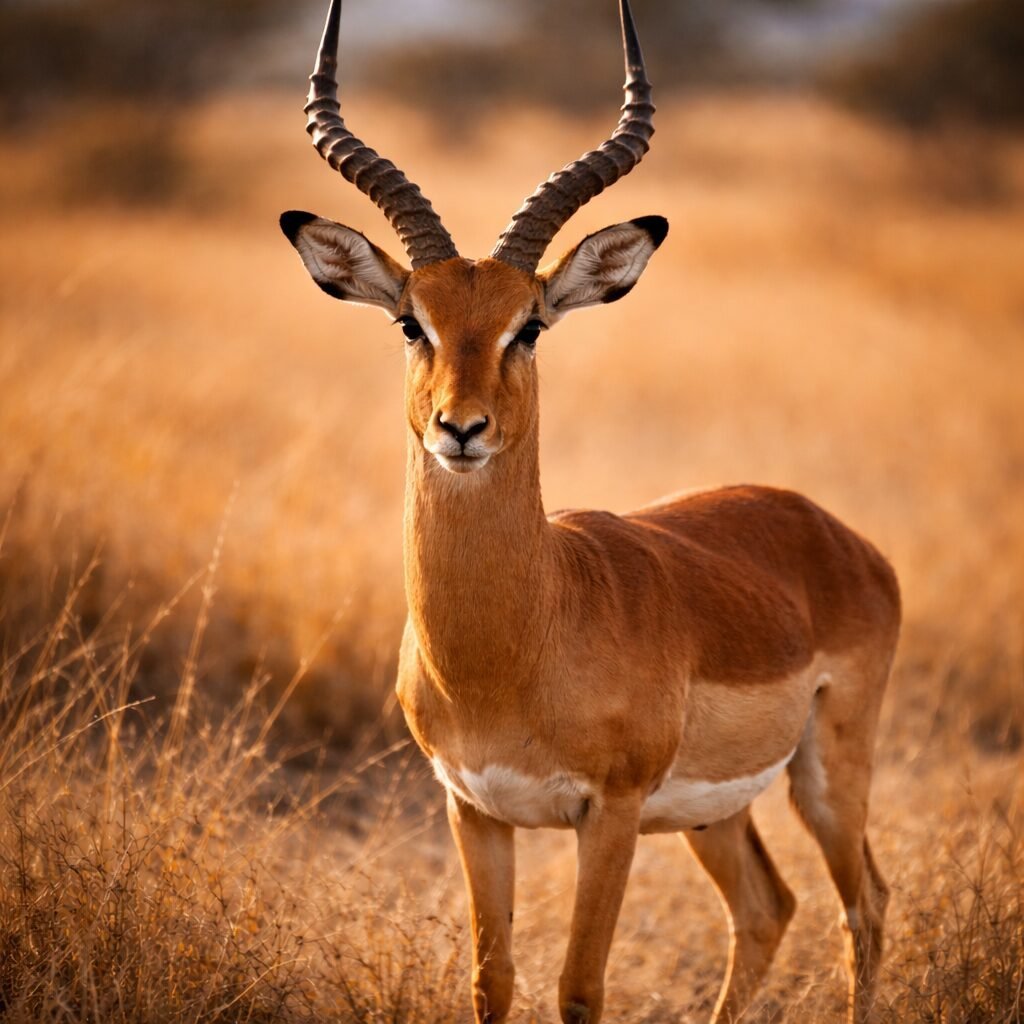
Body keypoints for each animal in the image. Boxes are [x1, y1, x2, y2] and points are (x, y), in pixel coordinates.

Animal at [280, 2, 901, 1021]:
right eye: (412, 322)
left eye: (528, 326)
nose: (461, 428)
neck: (519, 644)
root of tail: (827, 527)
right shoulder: (473, 809)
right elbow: (494, 979)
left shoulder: (606, 813)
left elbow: (579, 986)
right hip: (712, 813)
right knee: (769, 907)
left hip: (827, 771)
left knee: (868, 906)